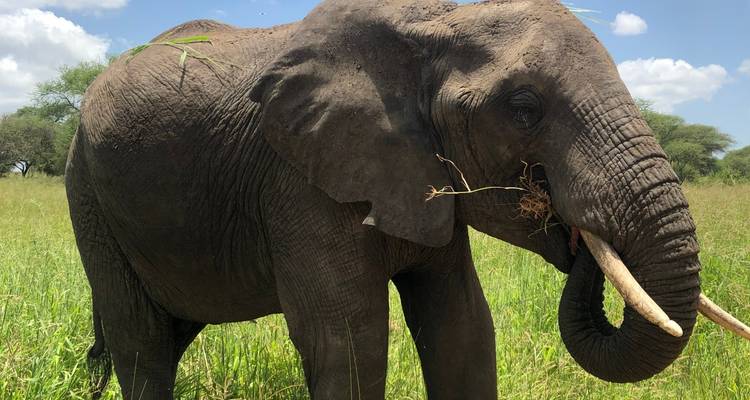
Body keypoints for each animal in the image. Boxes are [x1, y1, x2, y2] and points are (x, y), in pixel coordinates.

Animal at [65, 0, 748, 399]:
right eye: (524, 108)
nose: (575, 229)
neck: (432, 23)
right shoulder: (299, 182)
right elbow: (348, 342)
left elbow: (463, 328)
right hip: (87, 190)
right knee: (141, 342)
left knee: (163, 331)